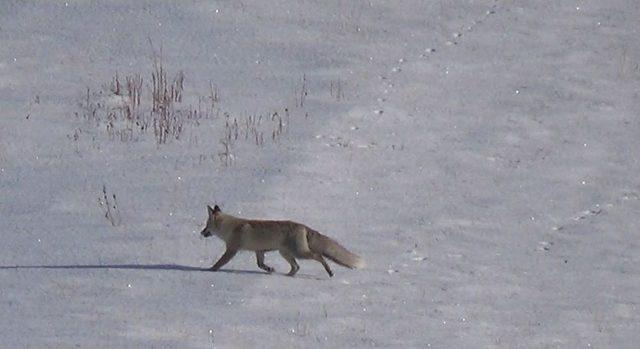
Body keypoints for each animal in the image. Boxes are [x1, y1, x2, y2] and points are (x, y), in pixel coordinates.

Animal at [202, 204, 368, 278]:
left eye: (206, 225)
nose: (201, 233)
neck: (230, 227)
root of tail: (303, 226)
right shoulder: (259, 251)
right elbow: (260, 264)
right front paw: (270, 270)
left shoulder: (232, 249)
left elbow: (220, 262)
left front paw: (210, 270)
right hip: (286, 254)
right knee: (297, 267)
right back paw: (288, 276)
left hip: (299, 252)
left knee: (319, 257)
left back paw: (330, 272)